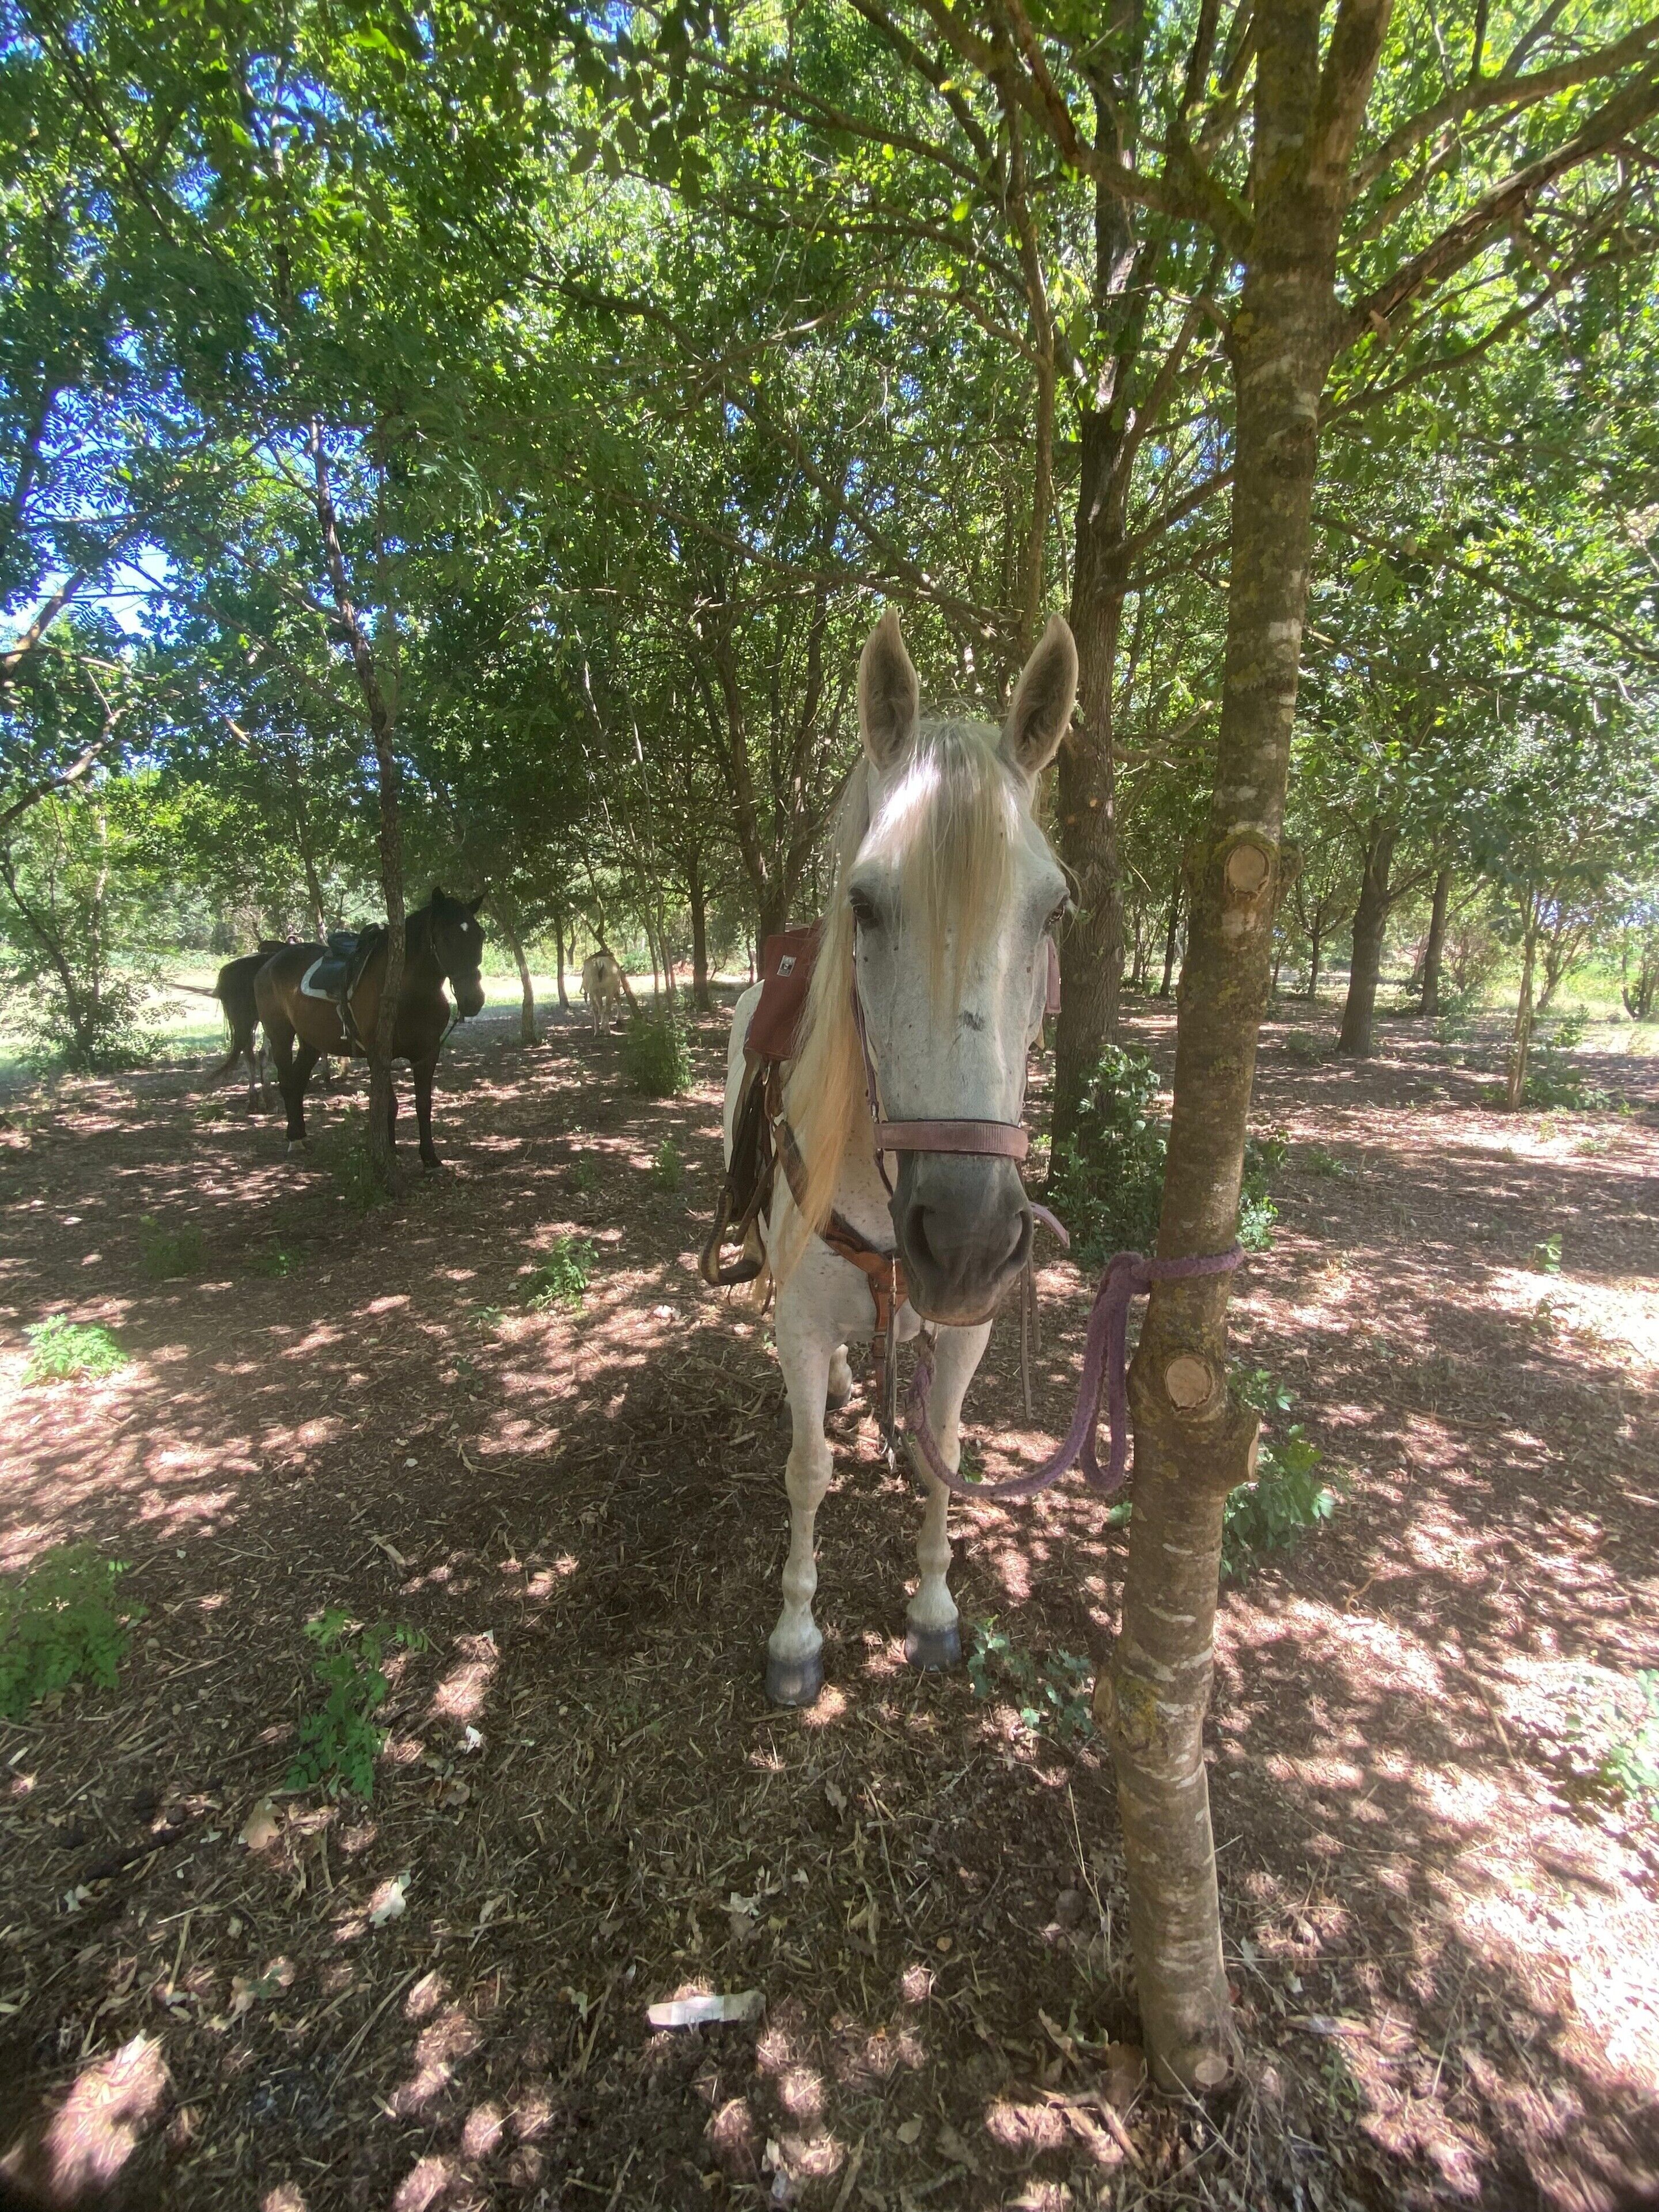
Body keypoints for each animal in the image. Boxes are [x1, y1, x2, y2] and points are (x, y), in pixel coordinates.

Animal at [255, 887, 487, 1170]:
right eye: (446, 937)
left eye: (480, 936)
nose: (473, 1001)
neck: (407, 990)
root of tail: (269, 962)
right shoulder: (379, 1054)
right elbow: (390, 1104)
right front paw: (390, 1152)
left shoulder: (427, 1054)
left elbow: (424, 1104)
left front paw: (429, 1156)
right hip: (280, 1035)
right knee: (288, 1082)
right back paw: (294, 1140)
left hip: (311, 1041)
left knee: (298, 1082)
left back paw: (301, 1135)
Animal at [581, 948, 634, 1036]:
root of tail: (599, 963)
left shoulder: (598, 994)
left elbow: (600, 1008)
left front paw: (602, 1026)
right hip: (609, 991)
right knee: (608, 1007)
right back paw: (607, 1030)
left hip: (593, 992)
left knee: (597, 1009)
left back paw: (598, 1032)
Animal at [722, 610, 1078, 1705]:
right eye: (865, 905)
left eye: (1055, 911)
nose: (963, 1242)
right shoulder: (796, 1322)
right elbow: (806, 1472)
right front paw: (796, 1633)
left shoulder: (965, 1333)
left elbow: (943, 1453)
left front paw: (932, 1609)